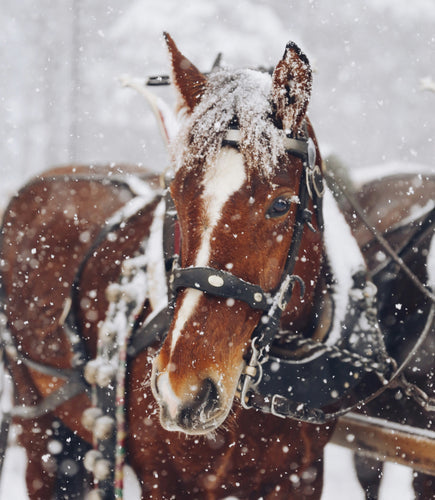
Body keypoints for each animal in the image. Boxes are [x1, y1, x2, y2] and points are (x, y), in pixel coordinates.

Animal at [0, 35, 435, 500]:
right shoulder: (166, 480)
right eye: (175, 192)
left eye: (281, 204)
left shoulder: (300, 476)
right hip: (35, 414)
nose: (183, 391)